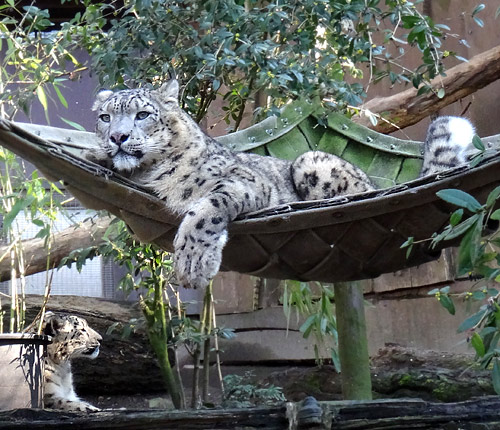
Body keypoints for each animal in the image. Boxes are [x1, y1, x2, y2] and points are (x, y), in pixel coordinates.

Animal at [88, 79, 374, 290]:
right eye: (105, 117)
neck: (147, 173)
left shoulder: (248, 181)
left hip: (311, 161)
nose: (117, 136)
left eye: (143, 114)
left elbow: (208, 207)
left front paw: (194, 262)